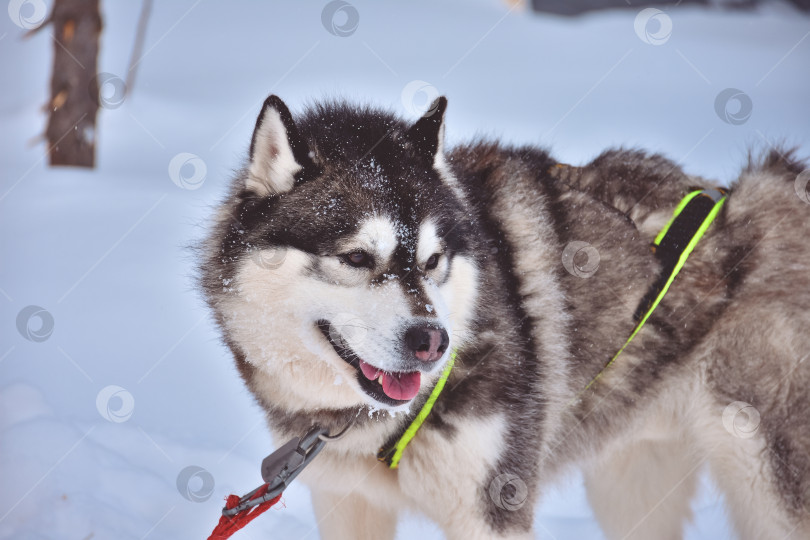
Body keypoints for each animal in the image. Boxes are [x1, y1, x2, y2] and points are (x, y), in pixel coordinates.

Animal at [197, 95, 808, 536]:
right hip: (631, 481)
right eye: (356, 258)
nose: (433, 342)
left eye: (433, 261)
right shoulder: (346, 500)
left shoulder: (493, 507)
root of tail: (771, 189)